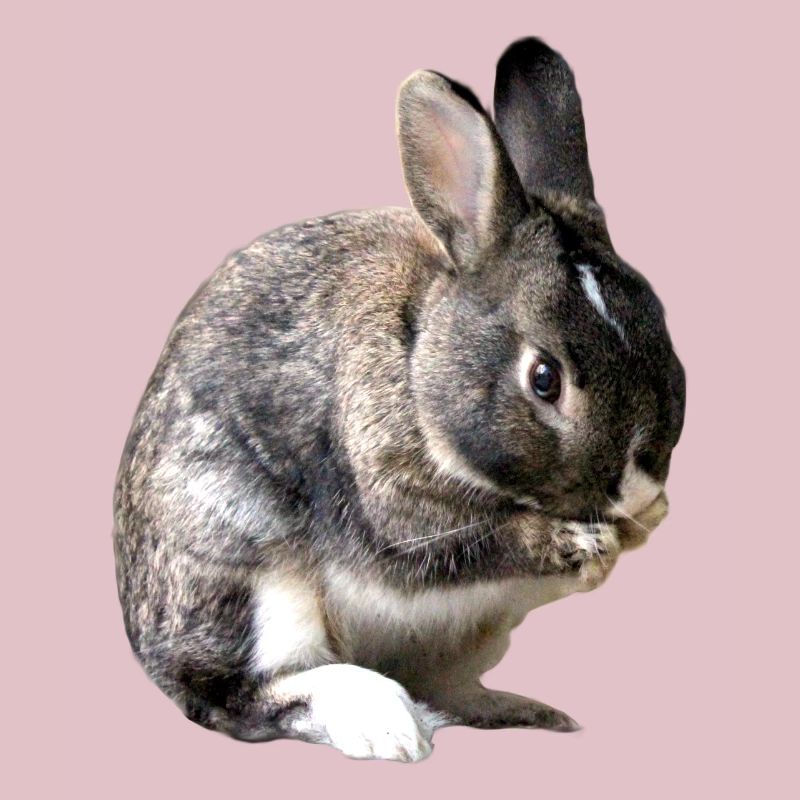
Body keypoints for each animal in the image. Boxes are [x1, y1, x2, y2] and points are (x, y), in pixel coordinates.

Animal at [113, 37, 686, 762]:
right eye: (544, 378)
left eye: (659, 322)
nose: (636, 491)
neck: (418, 360)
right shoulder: (390, 503)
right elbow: (450, 547)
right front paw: (581, 539)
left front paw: (642, 523)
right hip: (248, 573)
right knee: (240, 697)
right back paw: (386, 724)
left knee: (445, 686)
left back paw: (525, 712)